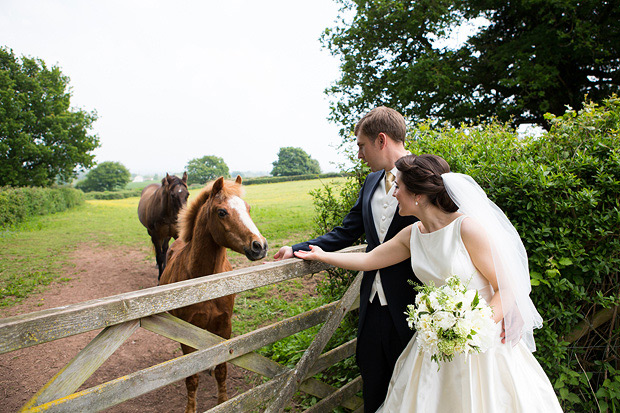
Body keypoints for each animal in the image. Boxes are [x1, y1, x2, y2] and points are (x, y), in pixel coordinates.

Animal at [159, 175, 268, 412]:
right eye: (222, 212)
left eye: (248, 208)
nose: (260, 246)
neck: (206, 283)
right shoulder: (187, 331)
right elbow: (191, 377)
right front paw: (191, 408)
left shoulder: (224, 326)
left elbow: (222, 370)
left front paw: (224, 402)